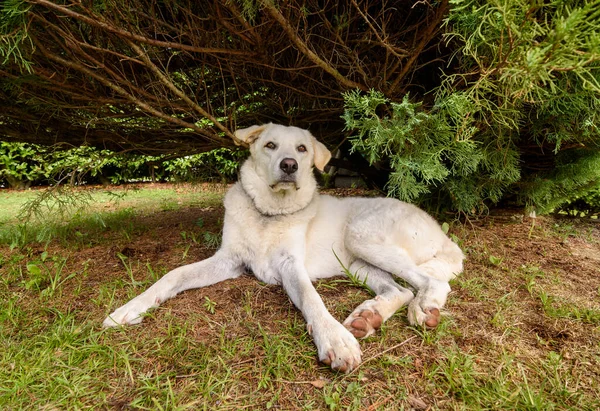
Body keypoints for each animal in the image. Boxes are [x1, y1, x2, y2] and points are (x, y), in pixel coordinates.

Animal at [105, 123, 464, 374]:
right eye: (270, 145)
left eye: (302, 148)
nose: (289, 165)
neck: (269, 213)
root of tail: (440, 232)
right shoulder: (228, 260)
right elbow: (173, 275)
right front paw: (129, 308)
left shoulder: (291, 265)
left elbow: (311, 299)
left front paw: (334, 340)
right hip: (355, 261)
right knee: (400, 290)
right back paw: (369, 316)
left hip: (362, 237)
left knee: (432, 283)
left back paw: (425, 307)